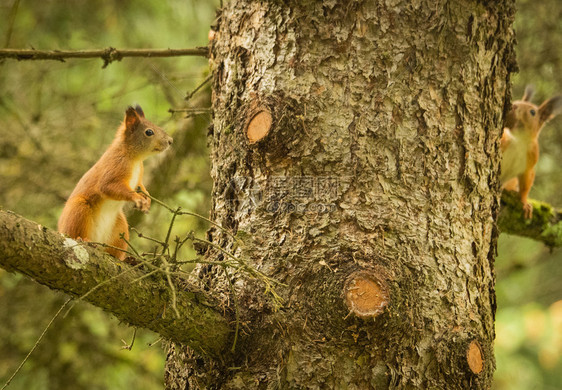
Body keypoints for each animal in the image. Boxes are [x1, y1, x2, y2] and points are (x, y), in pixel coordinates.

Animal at [57, 105, 172, 260]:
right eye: (149, 132)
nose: (170, 141)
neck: (135, 158)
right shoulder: (113, 168)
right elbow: (108, 186)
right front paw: (137, 198)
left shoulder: (139, 177)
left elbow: (141, 186)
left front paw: (147, 199)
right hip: (78, 210)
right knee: (74, 232)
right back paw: (83, 239)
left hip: (120, 227)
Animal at [498, 85, 560, 218]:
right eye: (516, 101)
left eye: (533, 112)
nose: (513, 106)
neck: (519, 139)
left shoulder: (529, 164)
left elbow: (525, 186)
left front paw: (525, 203)